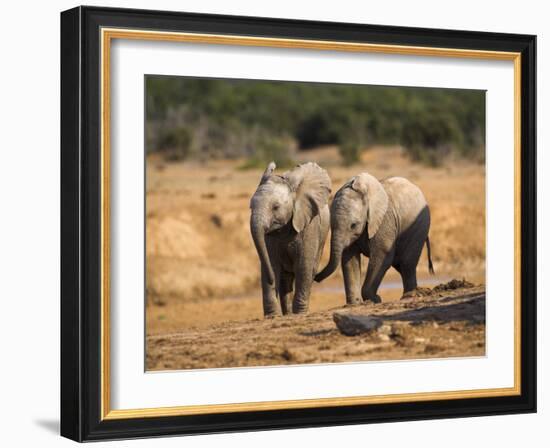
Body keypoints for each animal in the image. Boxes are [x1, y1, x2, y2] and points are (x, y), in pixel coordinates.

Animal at [250, 163, 332, 316]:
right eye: (250, 206)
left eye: (276, 207)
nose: (272, 280)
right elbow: (271, 263)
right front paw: (272, 316)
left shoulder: (309, 226)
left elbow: (303, 266)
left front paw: (299, 313)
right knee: (285, 279)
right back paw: (287, 313)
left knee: (309, 271)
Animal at [314, 172, 436, 304]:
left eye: (353, 225)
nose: (315, 276)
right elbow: (349, 259)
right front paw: (355, 303)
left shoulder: (385, 220)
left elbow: (382, 255)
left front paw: (375, 299)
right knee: (400, 264)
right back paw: (411, 294)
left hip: (419, 226)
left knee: (407, 263)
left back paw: (410, 295)